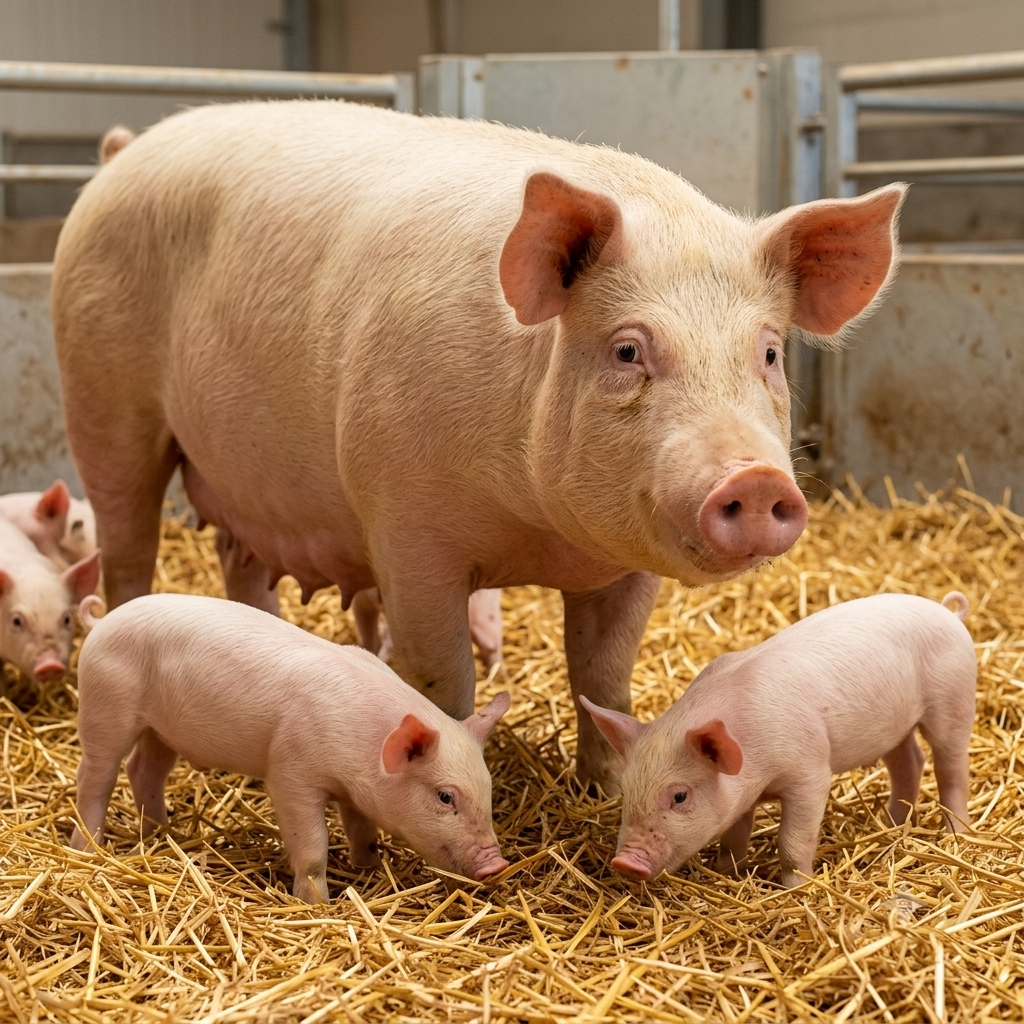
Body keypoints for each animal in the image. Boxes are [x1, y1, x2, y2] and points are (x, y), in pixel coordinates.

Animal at [53, 100, 905, 792]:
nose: (757, 481)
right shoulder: (404, 525)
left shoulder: (626, 566)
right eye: (629, 350)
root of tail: (123, 153)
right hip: (102, 398)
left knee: (241, 564)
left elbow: (603, 673)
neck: (536, 531)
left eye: (769, 352)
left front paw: (604, 790)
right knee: (128, 548)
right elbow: (440, 679)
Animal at [69, 592, 511, 901]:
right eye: (445, 797)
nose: (497, 863)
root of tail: (102, 620)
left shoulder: (354, 791)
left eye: (488, 791)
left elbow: (362, 829)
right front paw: (318, 903)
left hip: (161, 730)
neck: (365, 746)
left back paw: (163, 832)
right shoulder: (291, 771)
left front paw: (369, 865)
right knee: (95, 775)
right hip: (107, 705)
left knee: (144, 769)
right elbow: (312, 846)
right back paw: (89, 847)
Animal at [583, 592, 976, 888]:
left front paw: (795, 888)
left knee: (951, 766)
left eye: (679, 796)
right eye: (626, 790)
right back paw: (889, 823)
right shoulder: (741, 794)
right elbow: (733, 837)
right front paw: (729, 873)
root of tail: (948, 612)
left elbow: (793, 841)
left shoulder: (810, 772)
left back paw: (955, 834)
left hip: (952, 699)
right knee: (909, 762)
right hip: (894, 728)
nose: (625, 862)